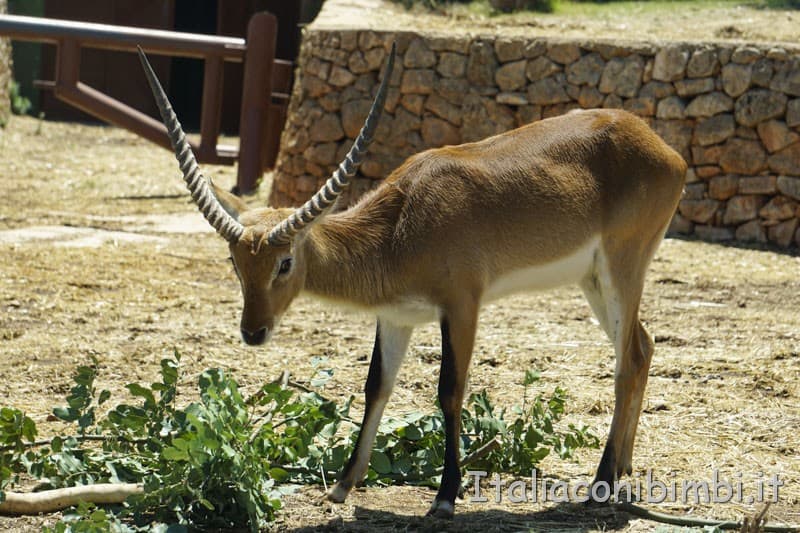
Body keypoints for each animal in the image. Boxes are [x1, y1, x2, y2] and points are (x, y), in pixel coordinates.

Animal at [139, 43, 688, 516]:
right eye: (235, 262)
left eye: (284, 262)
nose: (253, 332)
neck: (401, 227)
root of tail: (664, 147)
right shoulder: (396, 318)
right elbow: (376, 385)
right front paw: (341, 486)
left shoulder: (462, 305)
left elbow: (450, 389)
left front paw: (444, 497)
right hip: (593, 281)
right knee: (643, 346)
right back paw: (623, 468)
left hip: (622, 267)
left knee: (627, 359)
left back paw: (602, 483)